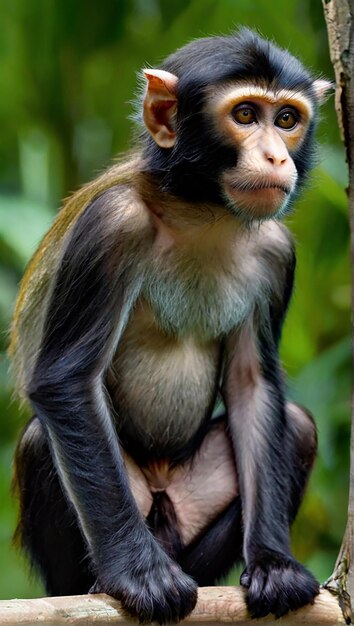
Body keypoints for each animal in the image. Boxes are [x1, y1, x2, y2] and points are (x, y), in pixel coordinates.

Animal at [10, 30, 332, 624]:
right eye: (246, 114)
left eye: (288, 119)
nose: (277, 156)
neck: (203, 214)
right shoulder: (111, 228)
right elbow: (65, 382)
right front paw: (139, 575)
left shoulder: (278, 253)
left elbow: (253, 386)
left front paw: (273, 562)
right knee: (44, 440)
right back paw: (99, 581)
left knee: (296, 426)